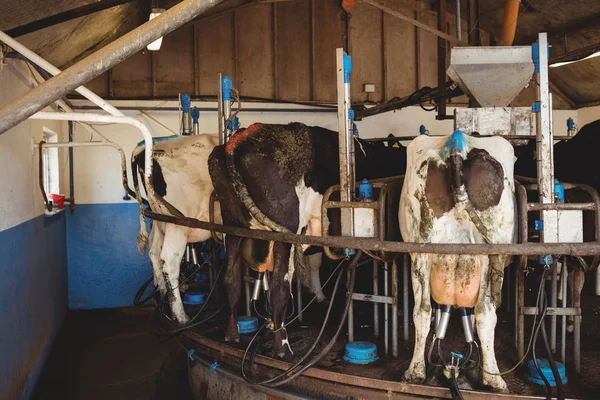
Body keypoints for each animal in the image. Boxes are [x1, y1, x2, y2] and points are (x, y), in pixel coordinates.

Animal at [207, 122, 408, 360]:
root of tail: (236, 142)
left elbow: (315, 261)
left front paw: (320, 295)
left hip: (233, 228)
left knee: (231, 279)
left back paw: (232, 333)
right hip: (284, 231)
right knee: (279, 286)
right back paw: (283, 347)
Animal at [398, 130, 516, 390]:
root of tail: (457, 143)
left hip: (421, 249)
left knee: (422, 310)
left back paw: (416, 372)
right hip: (491, 252)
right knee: (485, 313)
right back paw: (493, 377)